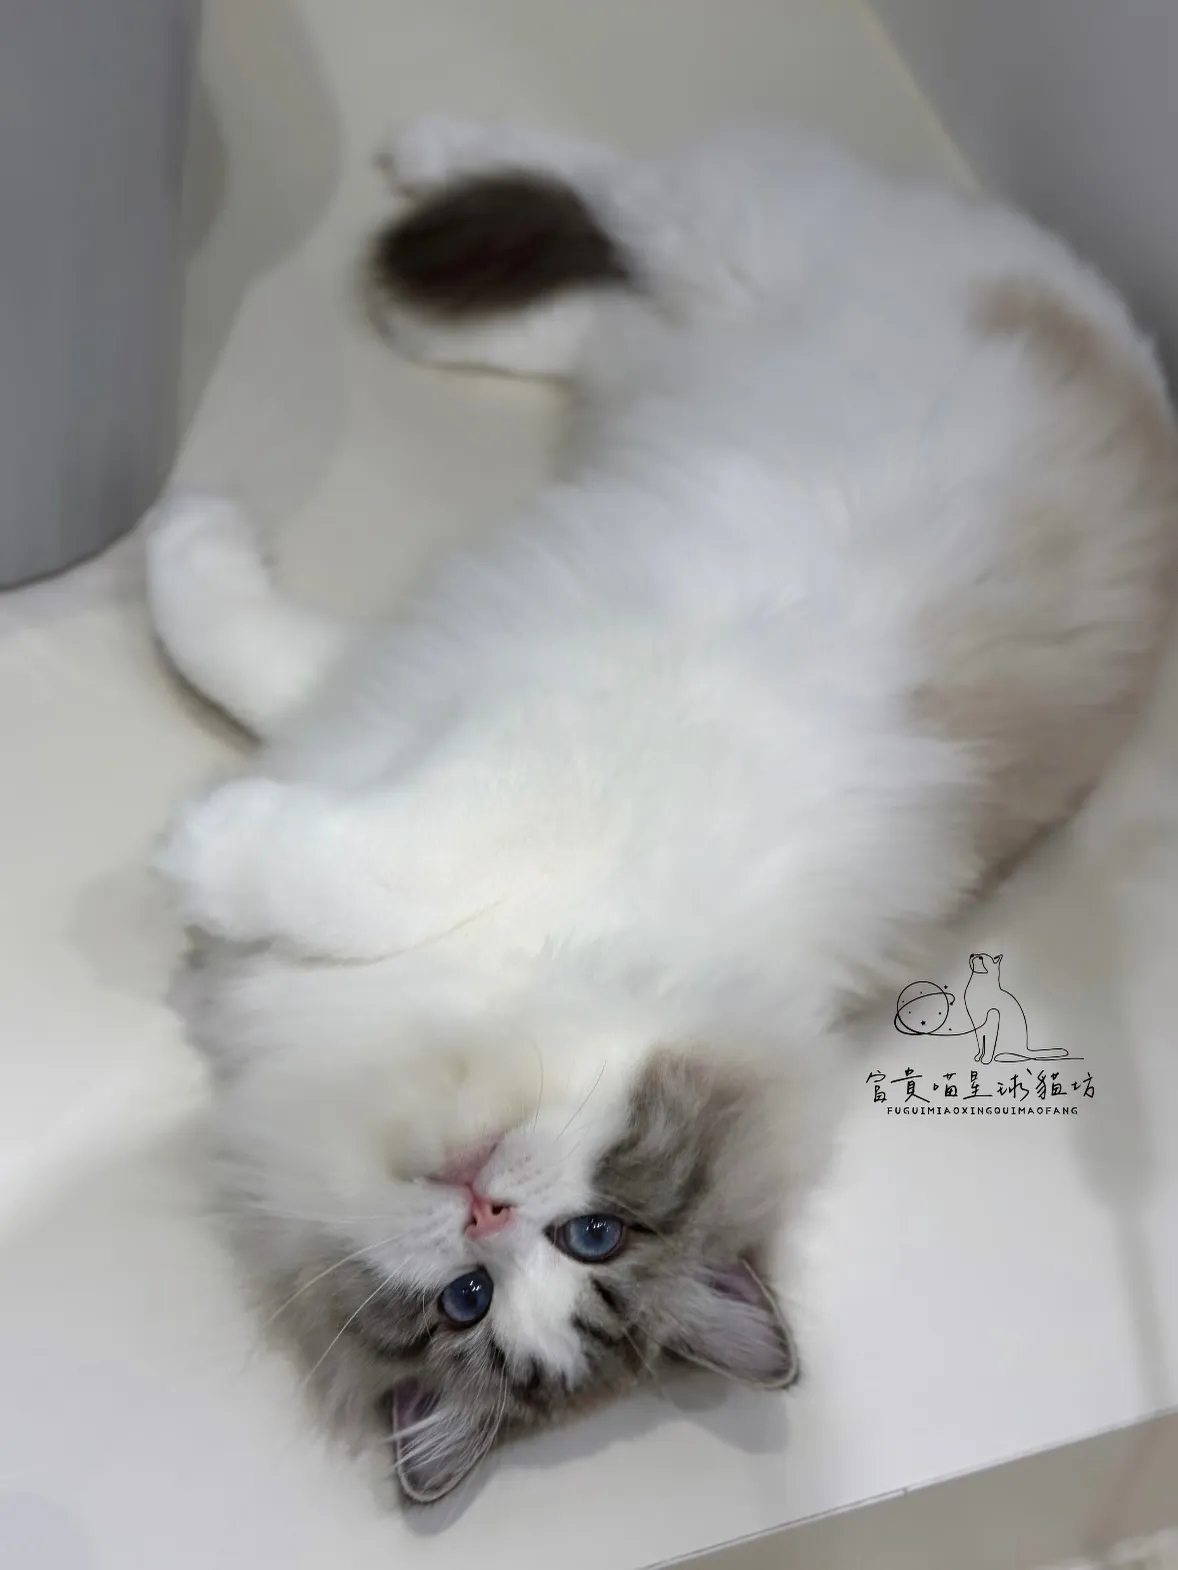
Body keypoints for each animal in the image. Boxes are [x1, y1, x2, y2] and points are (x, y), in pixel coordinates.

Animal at [144, 118, 1178, 1504]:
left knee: (599, 290)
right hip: (734, 249)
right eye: (480, 1289)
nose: (485, 1207)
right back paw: (428, 170)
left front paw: (206, 848)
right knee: (606, 195)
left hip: (695, 310)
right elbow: (251, 666)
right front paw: (182, 550)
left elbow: (346, 849)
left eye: (575, 1246)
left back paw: (417, 279)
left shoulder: (495, 762)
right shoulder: (491, 707)